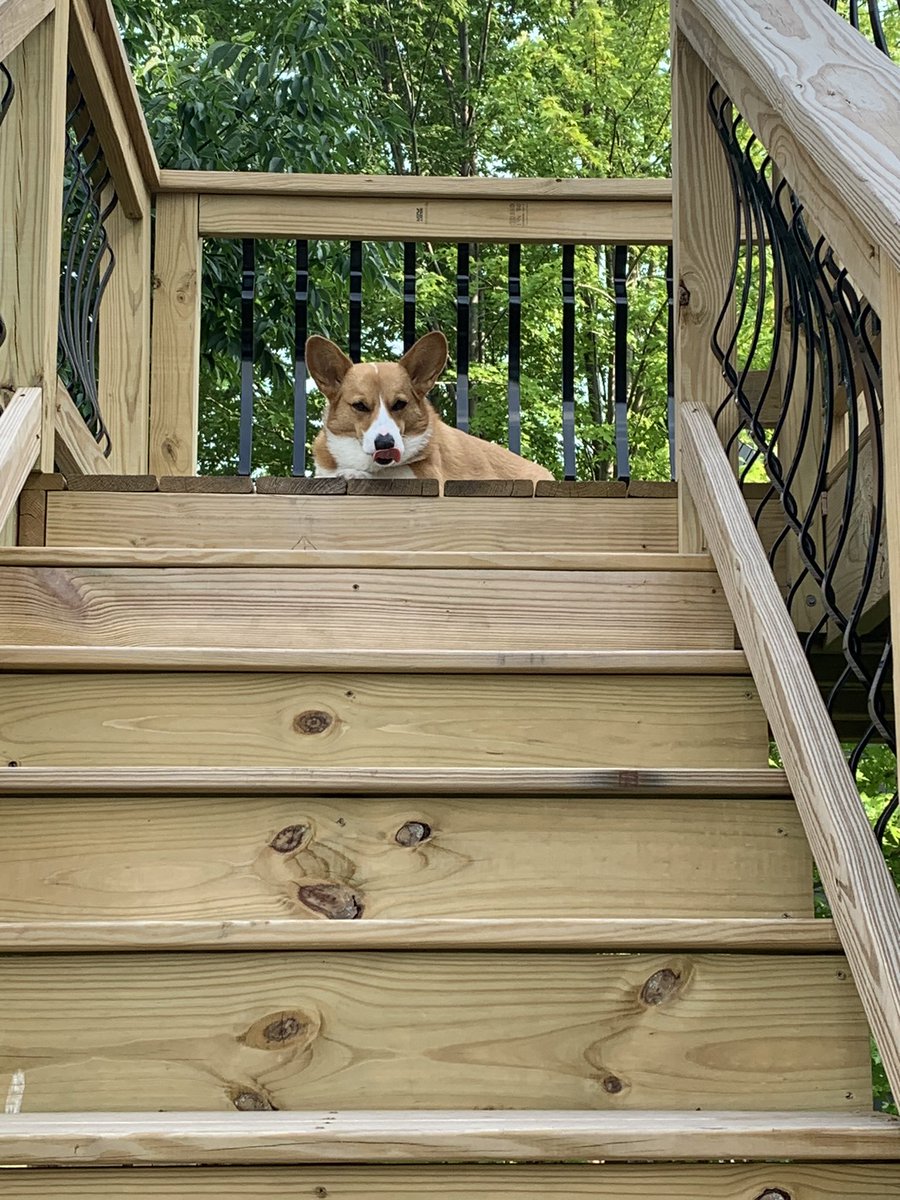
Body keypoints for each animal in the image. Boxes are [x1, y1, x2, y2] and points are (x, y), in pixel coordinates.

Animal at [307, 328, 554, 487]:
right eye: (359, 406)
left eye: (400, 404)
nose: (385, 443)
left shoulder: (428, 474)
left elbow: (393, 473)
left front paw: (353, 473)